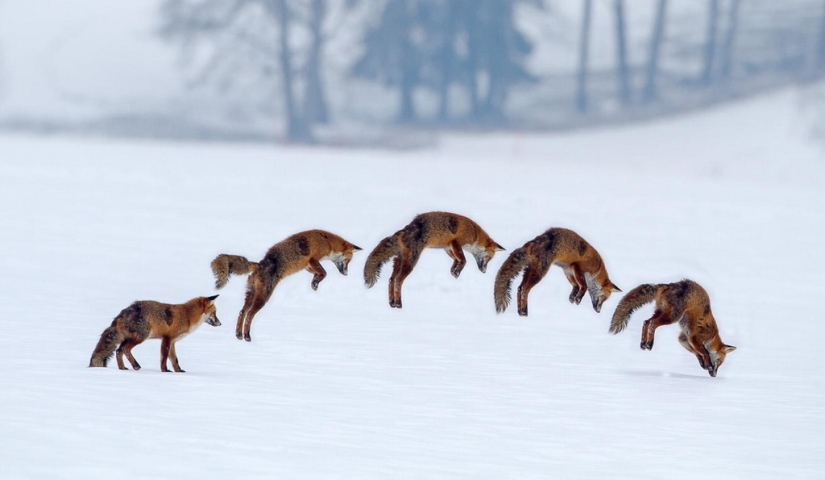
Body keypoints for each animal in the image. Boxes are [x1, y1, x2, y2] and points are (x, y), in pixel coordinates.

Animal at [89, 295, 221, 372]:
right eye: (214, 313)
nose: (220, 324)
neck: (187, 316)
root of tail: (123, 312)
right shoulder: (167, 339)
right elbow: (164, 358)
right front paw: (165, 371)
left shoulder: (173, 342)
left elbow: (174, 359)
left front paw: (178, 371)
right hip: (141, 337)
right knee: (125, 349)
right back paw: (135, 365)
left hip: (129, 338)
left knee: (118, 351)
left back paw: (123, 368)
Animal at [211, 229, 362, 342]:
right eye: (348, 261)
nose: (346, 274)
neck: (327, 241)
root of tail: (260, 264)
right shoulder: (313, 259)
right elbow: (324, 273)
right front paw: (315, 283)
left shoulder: (306, 265)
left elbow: (319, 273)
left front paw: (315, 282)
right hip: (263, 298)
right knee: (249, 315)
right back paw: (247, 336)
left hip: (251, 294)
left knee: (242, 312)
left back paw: (238, 335)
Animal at [363, 211, 504, 308]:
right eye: (489, 258)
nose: (484, 272)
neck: (475, 233)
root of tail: (405, 229)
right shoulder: (456, 242)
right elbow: (464, 259)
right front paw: (457, 271)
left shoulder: (447, 247)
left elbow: (456, 259)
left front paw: (454, 270)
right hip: (411, 262)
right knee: (398, 281)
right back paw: (398, 303)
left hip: (399, 261)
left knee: (391, 280)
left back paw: (392, 303)